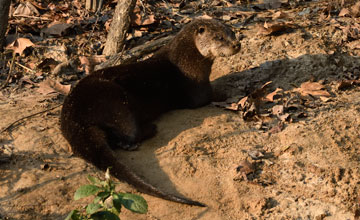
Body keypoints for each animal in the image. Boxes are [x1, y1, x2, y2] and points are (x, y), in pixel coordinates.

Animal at [60, 18, 240, 206]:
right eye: (219, 37)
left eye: (232, 32)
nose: (237, 44)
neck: (186, 61)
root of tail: (71, 117)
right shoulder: (197, 90)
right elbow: (211, 95)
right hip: (114, 101)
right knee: (129, 136)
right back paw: (149, 129)